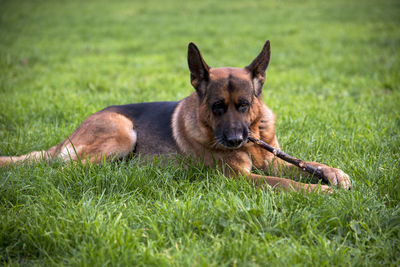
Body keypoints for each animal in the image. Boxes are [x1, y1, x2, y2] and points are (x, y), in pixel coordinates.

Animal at [0, 40, 350, 193]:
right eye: (217, 106)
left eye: (244, 104)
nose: (235, 140)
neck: (253, 140)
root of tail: (68, 137)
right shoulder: (239, 177)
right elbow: (286, 183)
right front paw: (321, 191)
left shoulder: (272, 159)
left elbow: (307, 164)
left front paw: (333, 174)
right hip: (123, 132)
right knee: (65, 170)